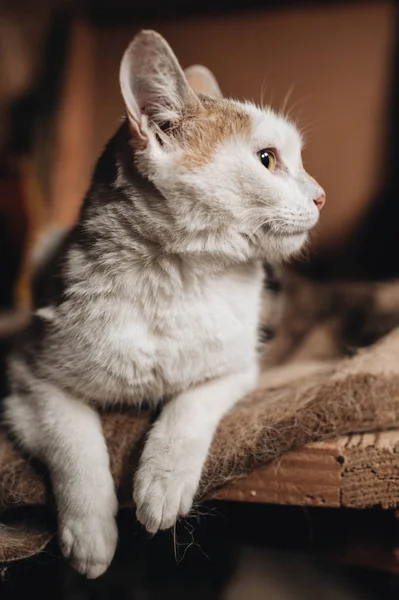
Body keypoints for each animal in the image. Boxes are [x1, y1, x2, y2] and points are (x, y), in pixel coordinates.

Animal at [4, 30, 326, 580]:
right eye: (267, 159)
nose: (321, 196)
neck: (174, 281)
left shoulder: (236, 369)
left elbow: (189, 406)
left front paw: (161, 482)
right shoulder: (29, 376)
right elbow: (73, 441)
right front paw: (89, 533)